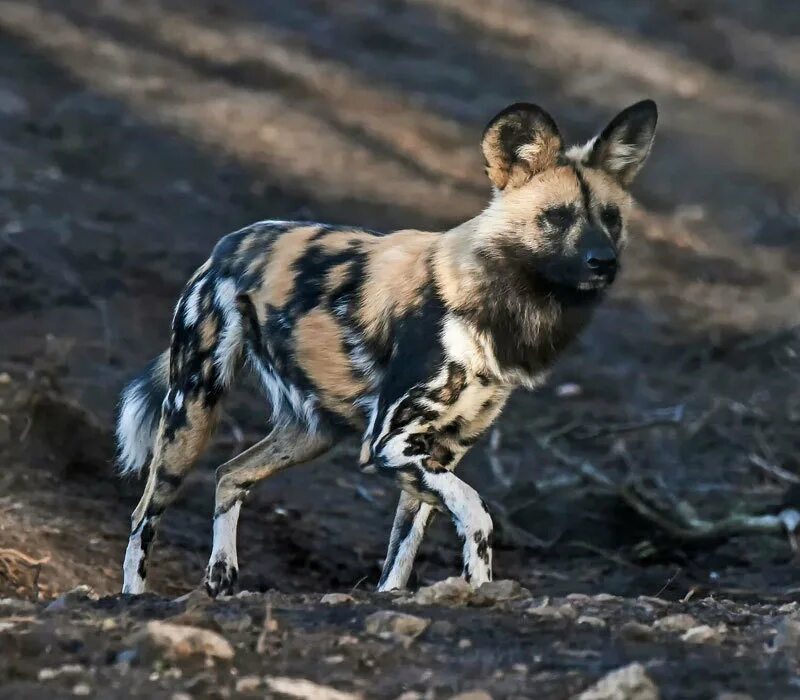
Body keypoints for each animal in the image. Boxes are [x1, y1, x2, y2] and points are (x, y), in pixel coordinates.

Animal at [117, 98, 656, 596]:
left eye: (611, 219)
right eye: (556, 218)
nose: (604, 262)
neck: (503, 308)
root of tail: (231, 243)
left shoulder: (438, 454)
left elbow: (402, 552)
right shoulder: (391, 444)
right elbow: (477, 516)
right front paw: (480, 588)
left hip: (312, 432)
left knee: (230, 473)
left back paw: (222, 575)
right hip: (192, 412)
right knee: (144, 514)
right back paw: (132, 597)